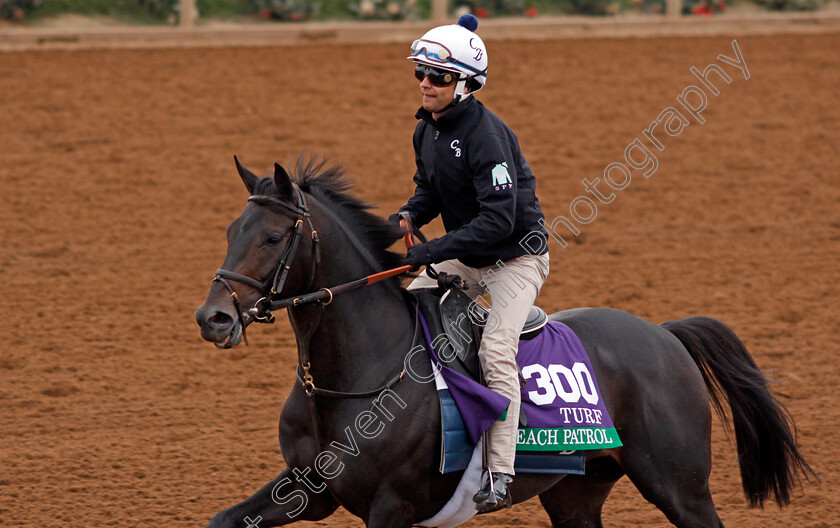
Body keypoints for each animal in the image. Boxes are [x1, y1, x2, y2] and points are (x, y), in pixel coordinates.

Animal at [195, 157, 812, 528]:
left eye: (274, 237)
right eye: (229, 232)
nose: (213, 317)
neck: (353, 380)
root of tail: (664, 335)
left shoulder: (391, 505)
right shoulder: (310, 488)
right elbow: (225, 518)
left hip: (679, 486)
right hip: (575, 491)